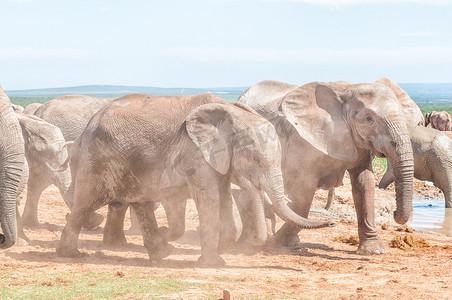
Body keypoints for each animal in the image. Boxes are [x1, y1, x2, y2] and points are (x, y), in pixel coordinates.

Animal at [55, 93, 332, 264]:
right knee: (85, 204)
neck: (231, 113)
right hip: (97, 161)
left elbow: (223, 196)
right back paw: (70, 254)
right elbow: (209, 198)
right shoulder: (195, 152)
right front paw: (213, 262)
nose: (331, 222)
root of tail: (86, 128)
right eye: (255, 159)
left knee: (141, 202)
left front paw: (219, 250)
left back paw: (162, 253)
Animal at [238, 81, 414, 254]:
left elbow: (365, 184)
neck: (349, 88)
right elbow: (304, 190)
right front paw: (277, 243)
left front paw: (373, 251)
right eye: (369, 119)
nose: (395, 213)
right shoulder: (303, 140)